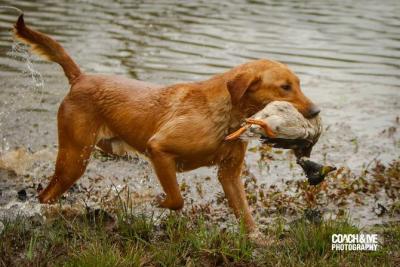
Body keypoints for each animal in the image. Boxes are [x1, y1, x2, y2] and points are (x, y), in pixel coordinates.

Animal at [13, 14, 318, 236]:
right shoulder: (158, 149)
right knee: (45, 195)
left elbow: (245, 213)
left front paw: (257, 240)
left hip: (98, 151)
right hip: (74, 159)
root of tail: (80, 78)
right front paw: (157, 202)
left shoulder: (229, 174)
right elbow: (177, 199)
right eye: (285, 87)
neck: (224, 116)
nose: (316, 111)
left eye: (298, 84)